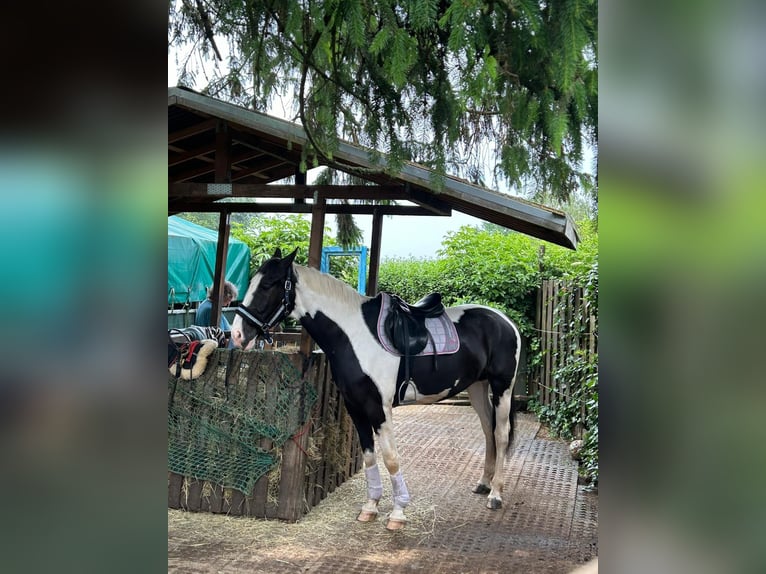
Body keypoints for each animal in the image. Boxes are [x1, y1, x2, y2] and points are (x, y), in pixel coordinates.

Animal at [230, 248, 521, 530]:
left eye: (268, 284)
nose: (237, 335)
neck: (354, 335)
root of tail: (505, 321)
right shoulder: (355, 407)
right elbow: (369, 456)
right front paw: (370, 507)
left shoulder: (379, 408)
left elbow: (391, 458)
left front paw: (398, 512)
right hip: (477, 387)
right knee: (488, 430)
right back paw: (484, 484)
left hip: (502, 387)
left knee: (501, 434)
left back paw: (495, 494)